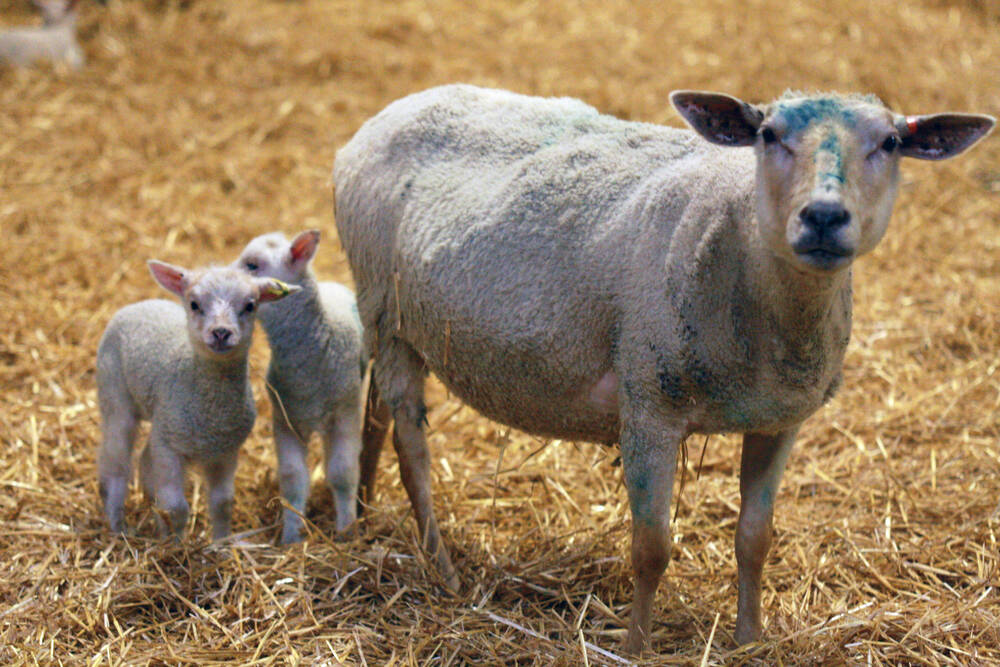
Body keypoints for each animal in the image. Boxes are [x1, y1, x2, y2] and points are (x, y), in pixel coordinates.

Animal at [96, 261, 298, 540]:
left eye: (250, 305)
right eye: (194, 304)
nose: (221, 332)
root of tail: (140, 303)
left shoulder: (225, 452)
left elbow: (222, 503)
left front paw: (221, 542)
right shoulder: (169, 448)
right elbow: (177, 508)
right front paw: (177, 545)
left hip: (161, 423)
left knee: (145, 460)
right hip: (115, 396)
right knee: (114, 464)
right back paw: (118, 528)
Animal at [233, 230, 374, 544]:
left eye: (252, 265)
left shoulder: (346, 413)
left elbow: (343, 473)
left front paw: (347, 531)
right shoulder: (285, 419)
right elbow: (292, 478)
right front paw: (291, 537)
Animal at [332, 84, 994, 654]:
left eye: (891, 142)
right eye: (768, 134)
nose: (825, 217)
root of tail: (384, 117)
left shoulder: (779, 422)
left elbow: (755, 540)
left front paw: (748, 639)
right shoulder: (648, 405)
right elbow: (651, 548)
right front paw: (635, 646)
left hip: (393, 322)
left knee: (373, 417)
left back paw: (362, 514)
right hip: (386, 307)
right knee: (411, 446)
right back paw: (440, 567)